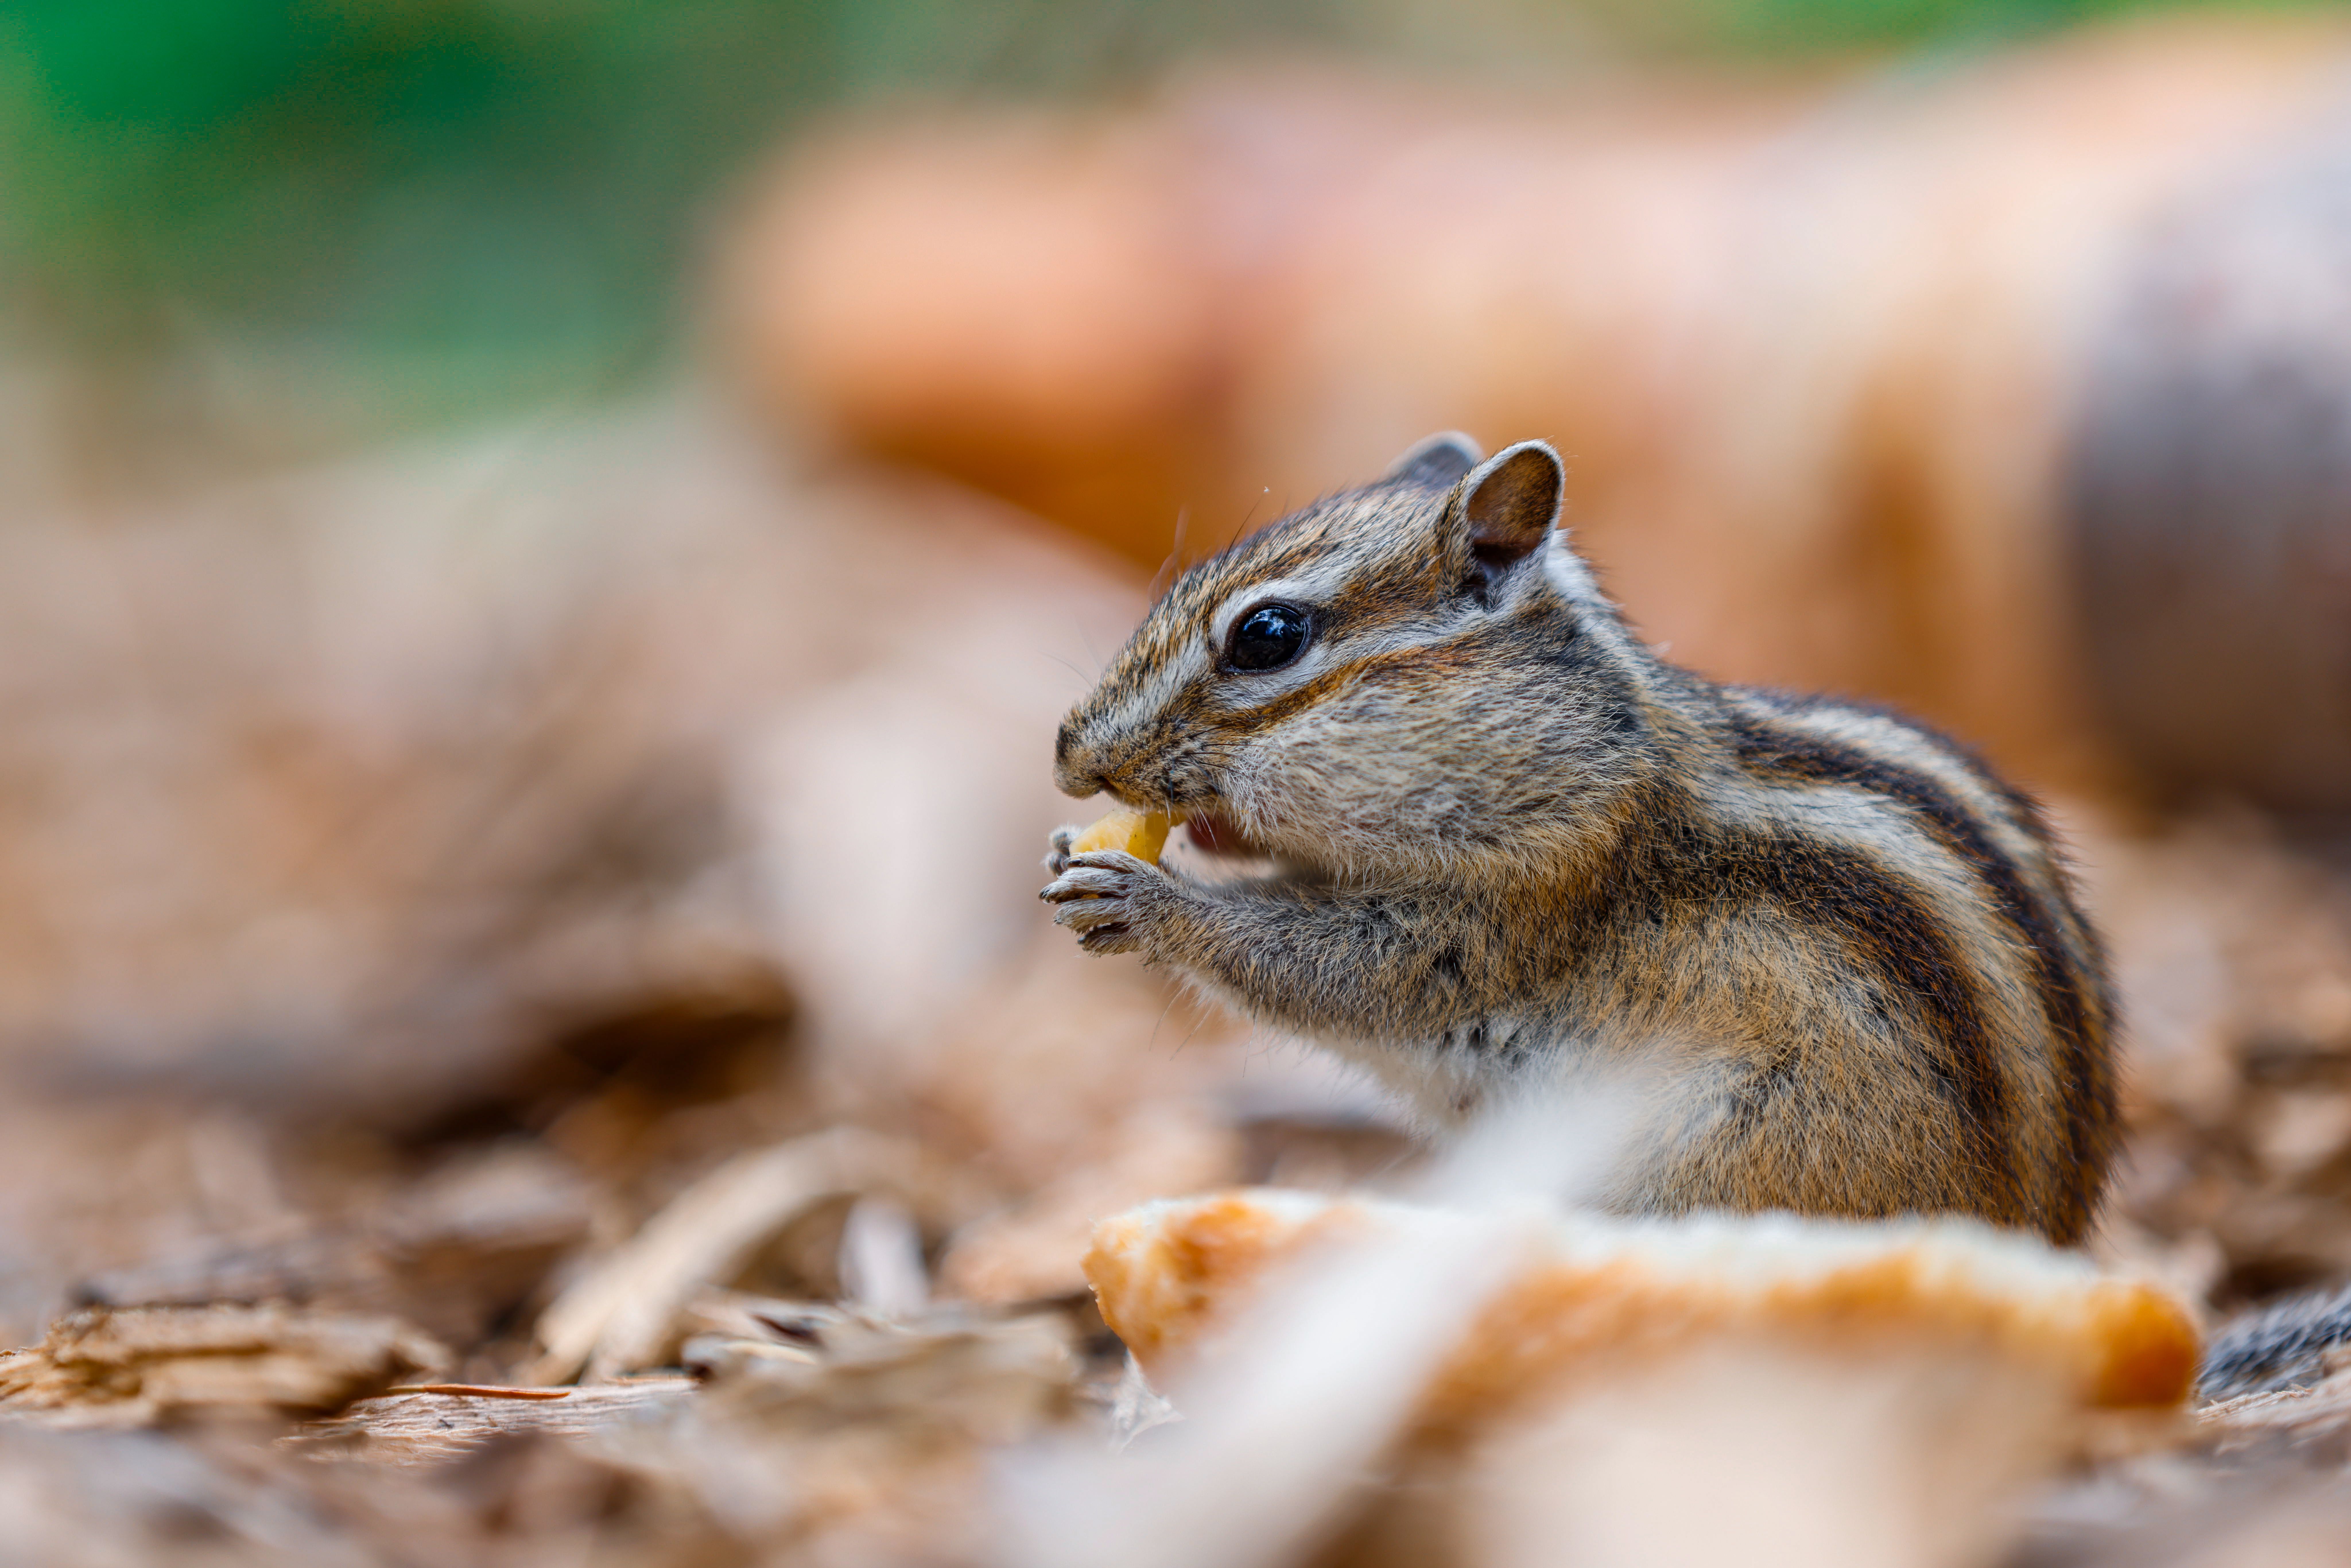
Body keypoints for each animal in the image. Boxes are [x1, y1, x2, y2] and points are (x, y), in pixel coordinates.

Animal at [1040, 432, 2118, 1246]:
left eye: (1267, 635)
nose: (1070, 755)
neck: (1597, 761)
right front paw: (1066, 850)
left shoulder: (1514, 904)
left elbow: (1331, 970)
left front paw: (1145, 899)